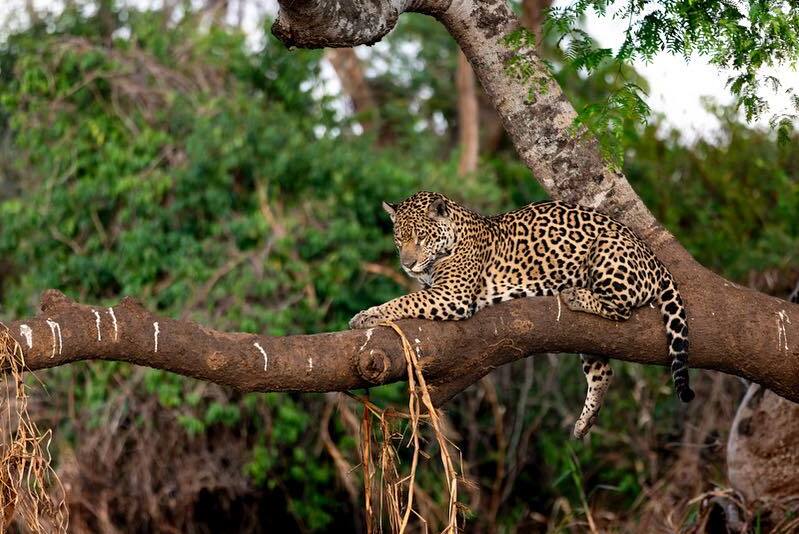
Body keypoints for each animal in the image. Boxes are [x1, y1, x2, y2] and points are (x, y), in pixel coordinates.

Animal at [349, 191, 694, 438]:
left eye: (421, 237)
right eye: (399, 240)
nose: (407, 265)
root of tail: (655, 259)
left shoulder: (452, 296)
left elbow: (405, 300)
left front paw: (366, 316)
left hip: (607, 253)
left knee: (621, 308)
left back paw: (575, 294)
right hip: (586, 336)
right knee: (603, 371)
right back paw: (585, 421)